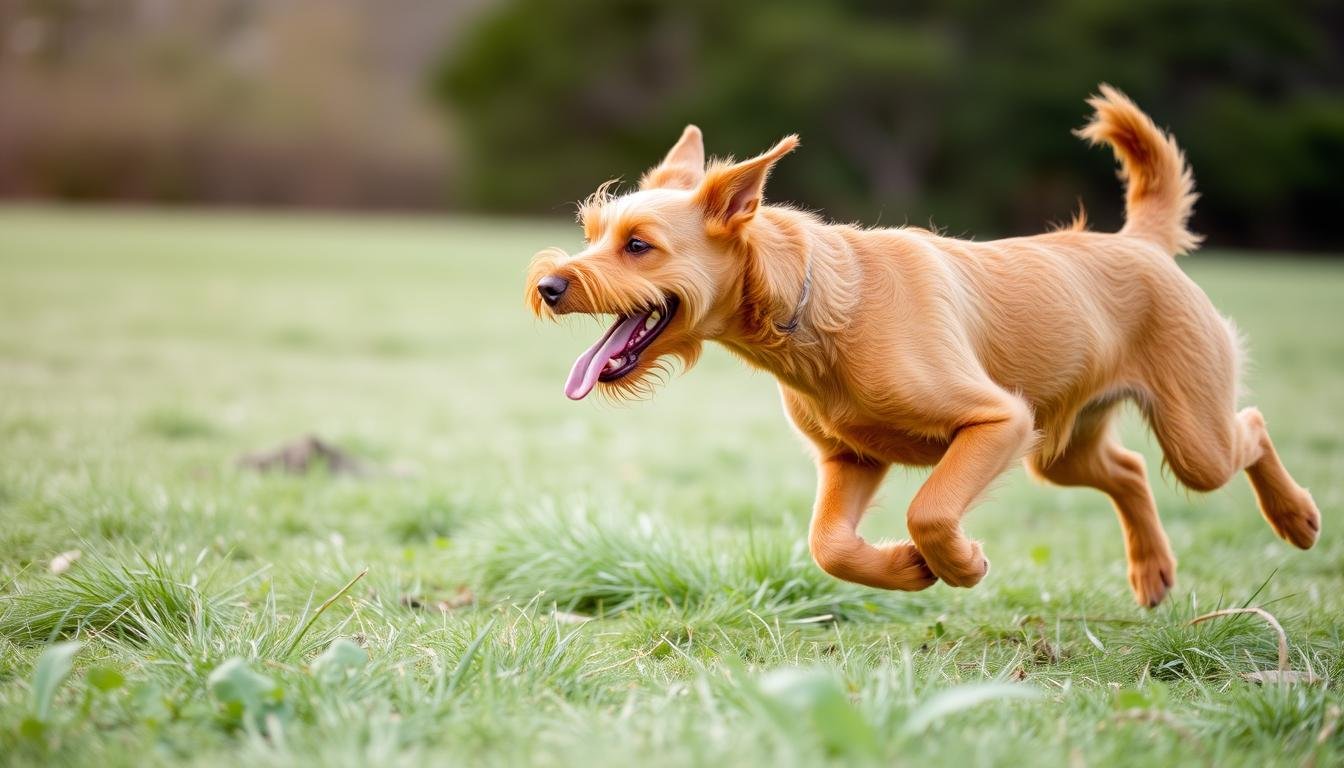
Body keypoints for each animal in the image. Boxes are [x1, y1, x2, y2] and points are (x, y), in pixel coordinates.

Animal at [526, 85, 1322, 607]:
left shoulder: (997, 420)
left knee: (1249, 428)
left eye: (638, 246)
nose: (548, 286)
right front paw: (905, 571)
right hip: (1060, 447)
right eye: (592, 232)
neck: (816, 307)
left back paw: (1296, 516)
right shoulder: (851, 457)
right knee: (1127, 470)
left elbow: (930, 510)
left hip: (1187, 436)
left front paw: (959, 564)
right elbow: (828, 545)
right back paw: (1152, 570)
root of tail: (1140, 242)